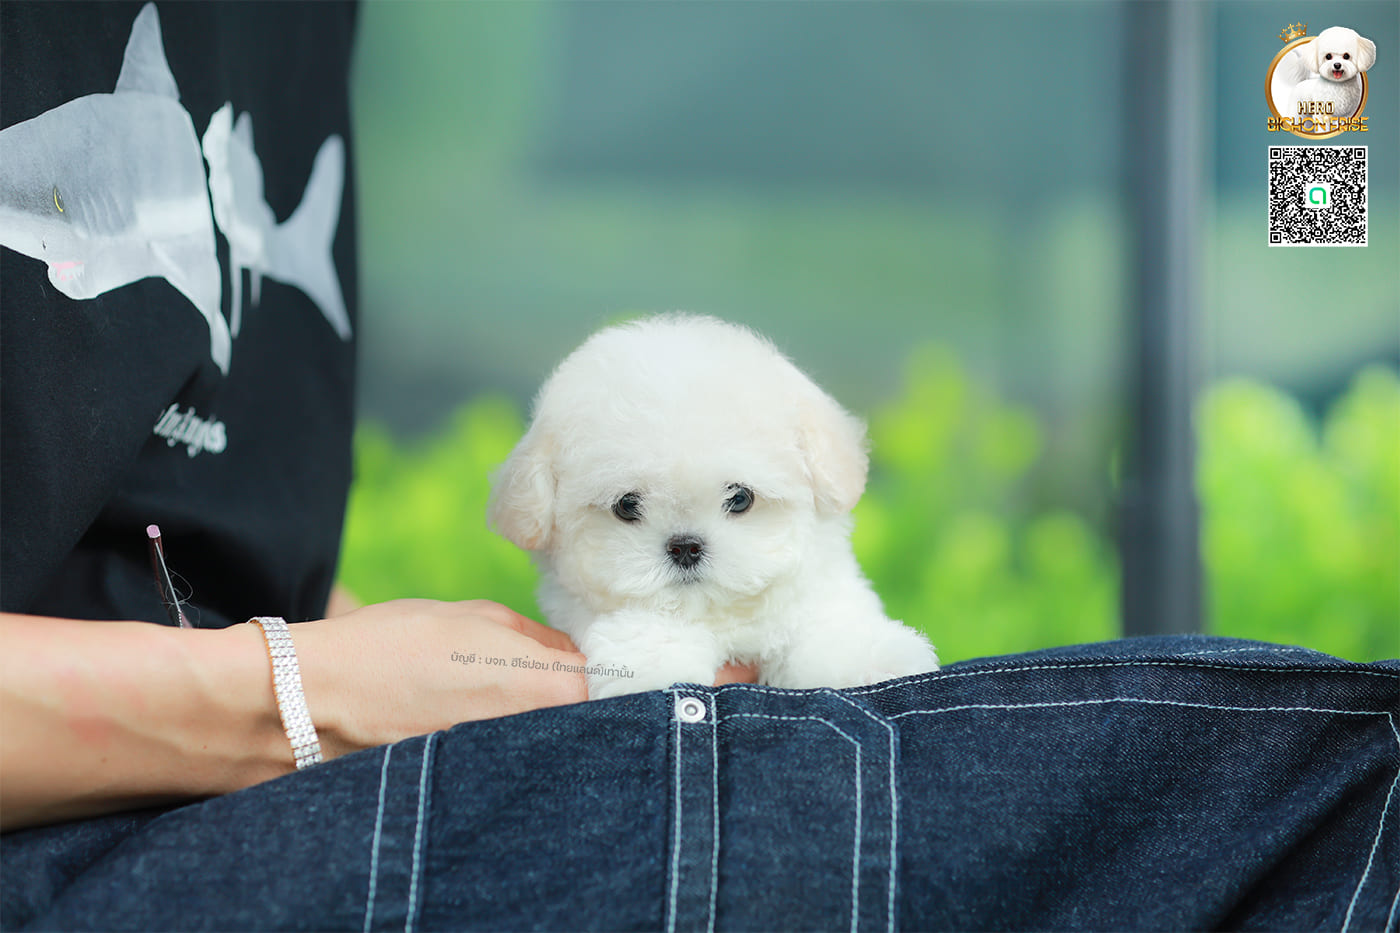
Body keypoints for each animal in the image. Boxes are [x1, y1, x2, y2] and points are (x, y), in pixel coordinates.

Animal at [488, 314, 940, 699]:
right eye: (627, 506)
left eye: (740, 498)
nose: (685, 546)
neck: (722, 616)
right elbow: (646, 628)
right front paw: (656, 671)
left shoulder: (819, 590)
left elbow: (829, 623)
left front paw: (871, 662)